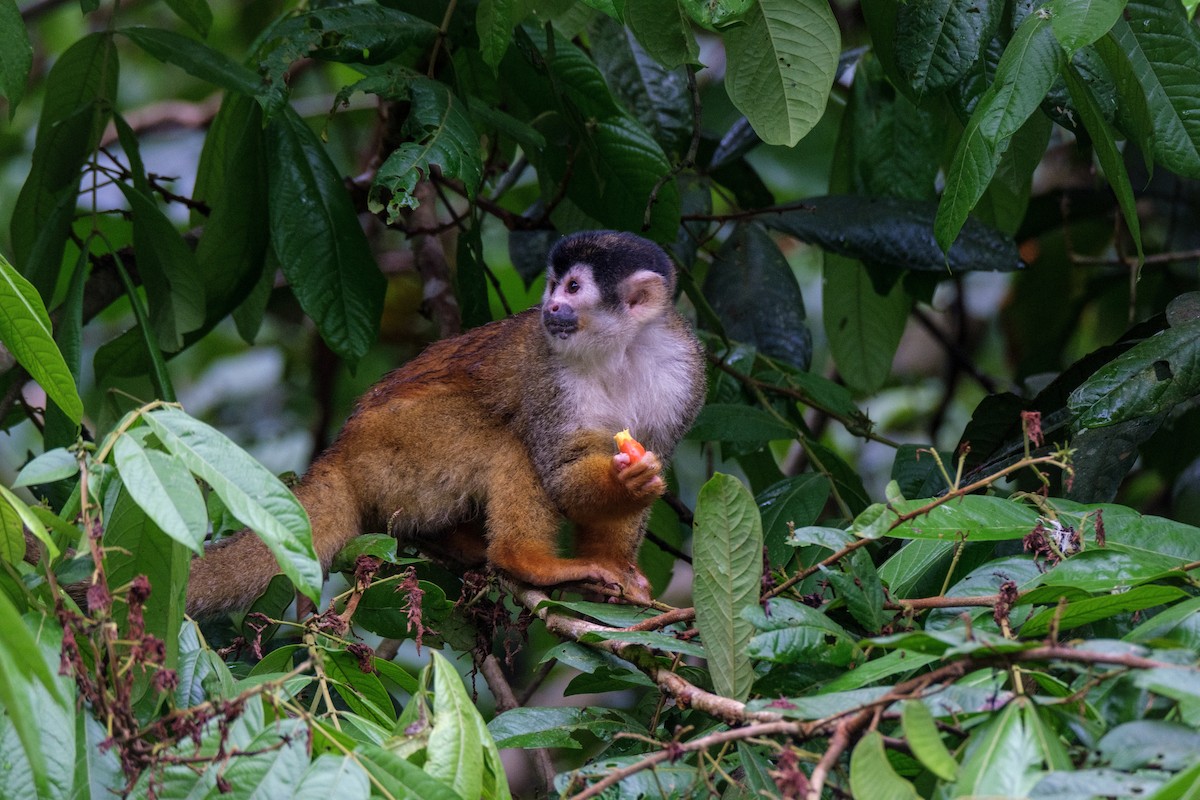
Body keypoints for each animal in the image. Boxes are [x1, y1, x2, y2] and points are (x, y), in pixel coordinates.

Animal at [184, 230, 707, 617]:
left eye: (573, 288)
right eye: (552, 285)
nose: (550, 308)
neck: (618, 350)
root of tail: (341, 452)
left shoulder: (684, 374)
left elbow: (646, 453)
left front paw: (616, 557)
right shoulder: (548, 372)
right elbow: (560, 468)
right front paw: (626, 480)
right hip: (396, 447)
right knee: (508, 439)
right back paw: (524, 560)